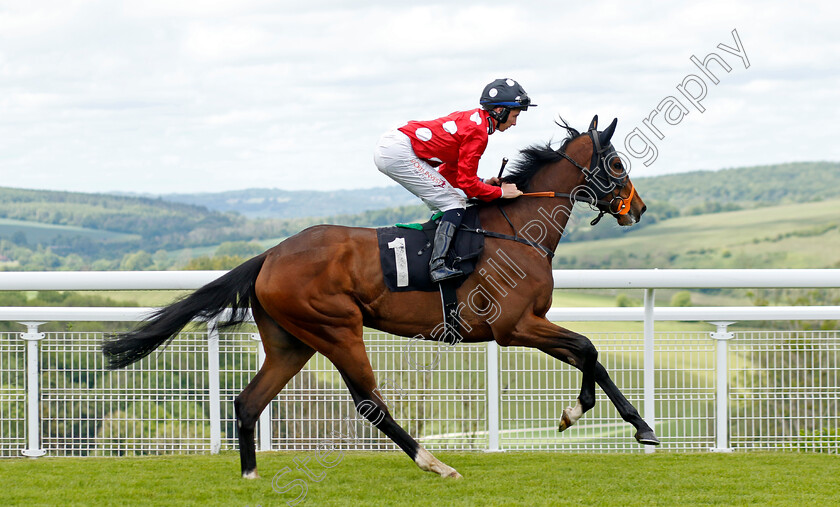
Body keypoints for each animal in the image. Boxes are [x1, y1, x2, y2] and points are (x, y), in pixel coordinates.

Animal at [103, 115, 656, 480]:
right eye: (615, 162)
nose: (639, 209)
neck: (517, 229)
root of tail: (270, 256)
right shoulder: (513, 326)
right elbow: (588, 347)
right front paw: (592, 416)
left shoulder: (529, 323)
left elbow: (591, 356)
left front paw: (627, 424)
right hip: (337, 328)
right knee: (369, 404)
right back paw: (435, 463)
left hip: (290, 342)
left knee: (247, 402)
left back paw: (251, 476)